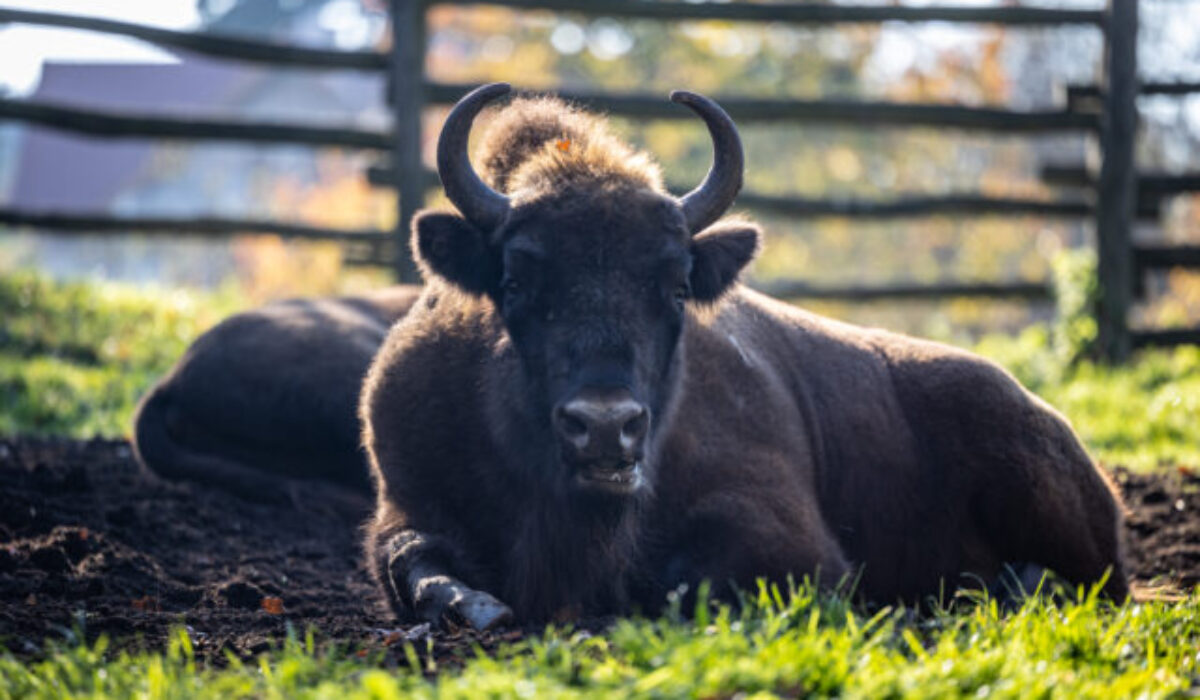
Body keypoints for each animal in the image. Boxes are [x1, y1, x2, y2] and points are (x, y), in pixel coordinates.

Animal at [360, 84, 1128, 633]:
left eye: (675, 287)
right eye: (515, 282)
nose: (606, 427)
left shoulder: (788, 538)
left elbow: (689, 581)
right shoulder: (404, 503)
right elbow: (414, 563)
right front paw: (482, 607)